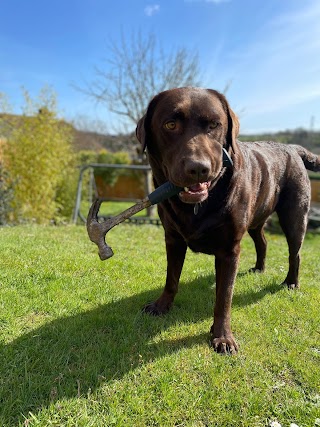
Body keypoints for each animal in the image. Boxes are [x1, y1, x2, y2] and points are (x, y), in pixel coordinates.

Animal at [136, 87, 320, 354]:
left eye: (215, 125)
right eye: (170, 124)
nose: (198, 168)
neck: (199, 205)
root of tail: (294, 149)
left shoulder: (229, 249)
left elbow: (224, 296)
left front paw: (222, 337)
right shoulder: (173, 239)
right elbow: (171, 278)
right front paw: (161, 306)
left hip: (294, 217)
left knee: (295, 253)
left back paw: (291, 282)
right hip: (256, 220)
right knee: (262, 242)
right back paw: (259, 268)